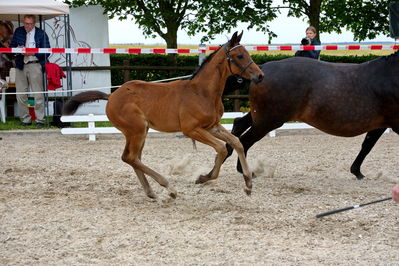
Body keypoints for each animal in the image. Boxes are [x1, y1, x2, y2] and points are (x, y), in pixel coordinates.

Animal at [227, 53, 398, 179]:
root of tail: (262, 70)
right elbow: (368, 146)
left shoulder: (380, 124)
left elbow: (367, 145)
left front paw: (357, 172)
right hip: (268, 120)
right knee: (245, 140)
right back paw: (245, 171)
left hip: (263, 116)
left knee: (239, 124)